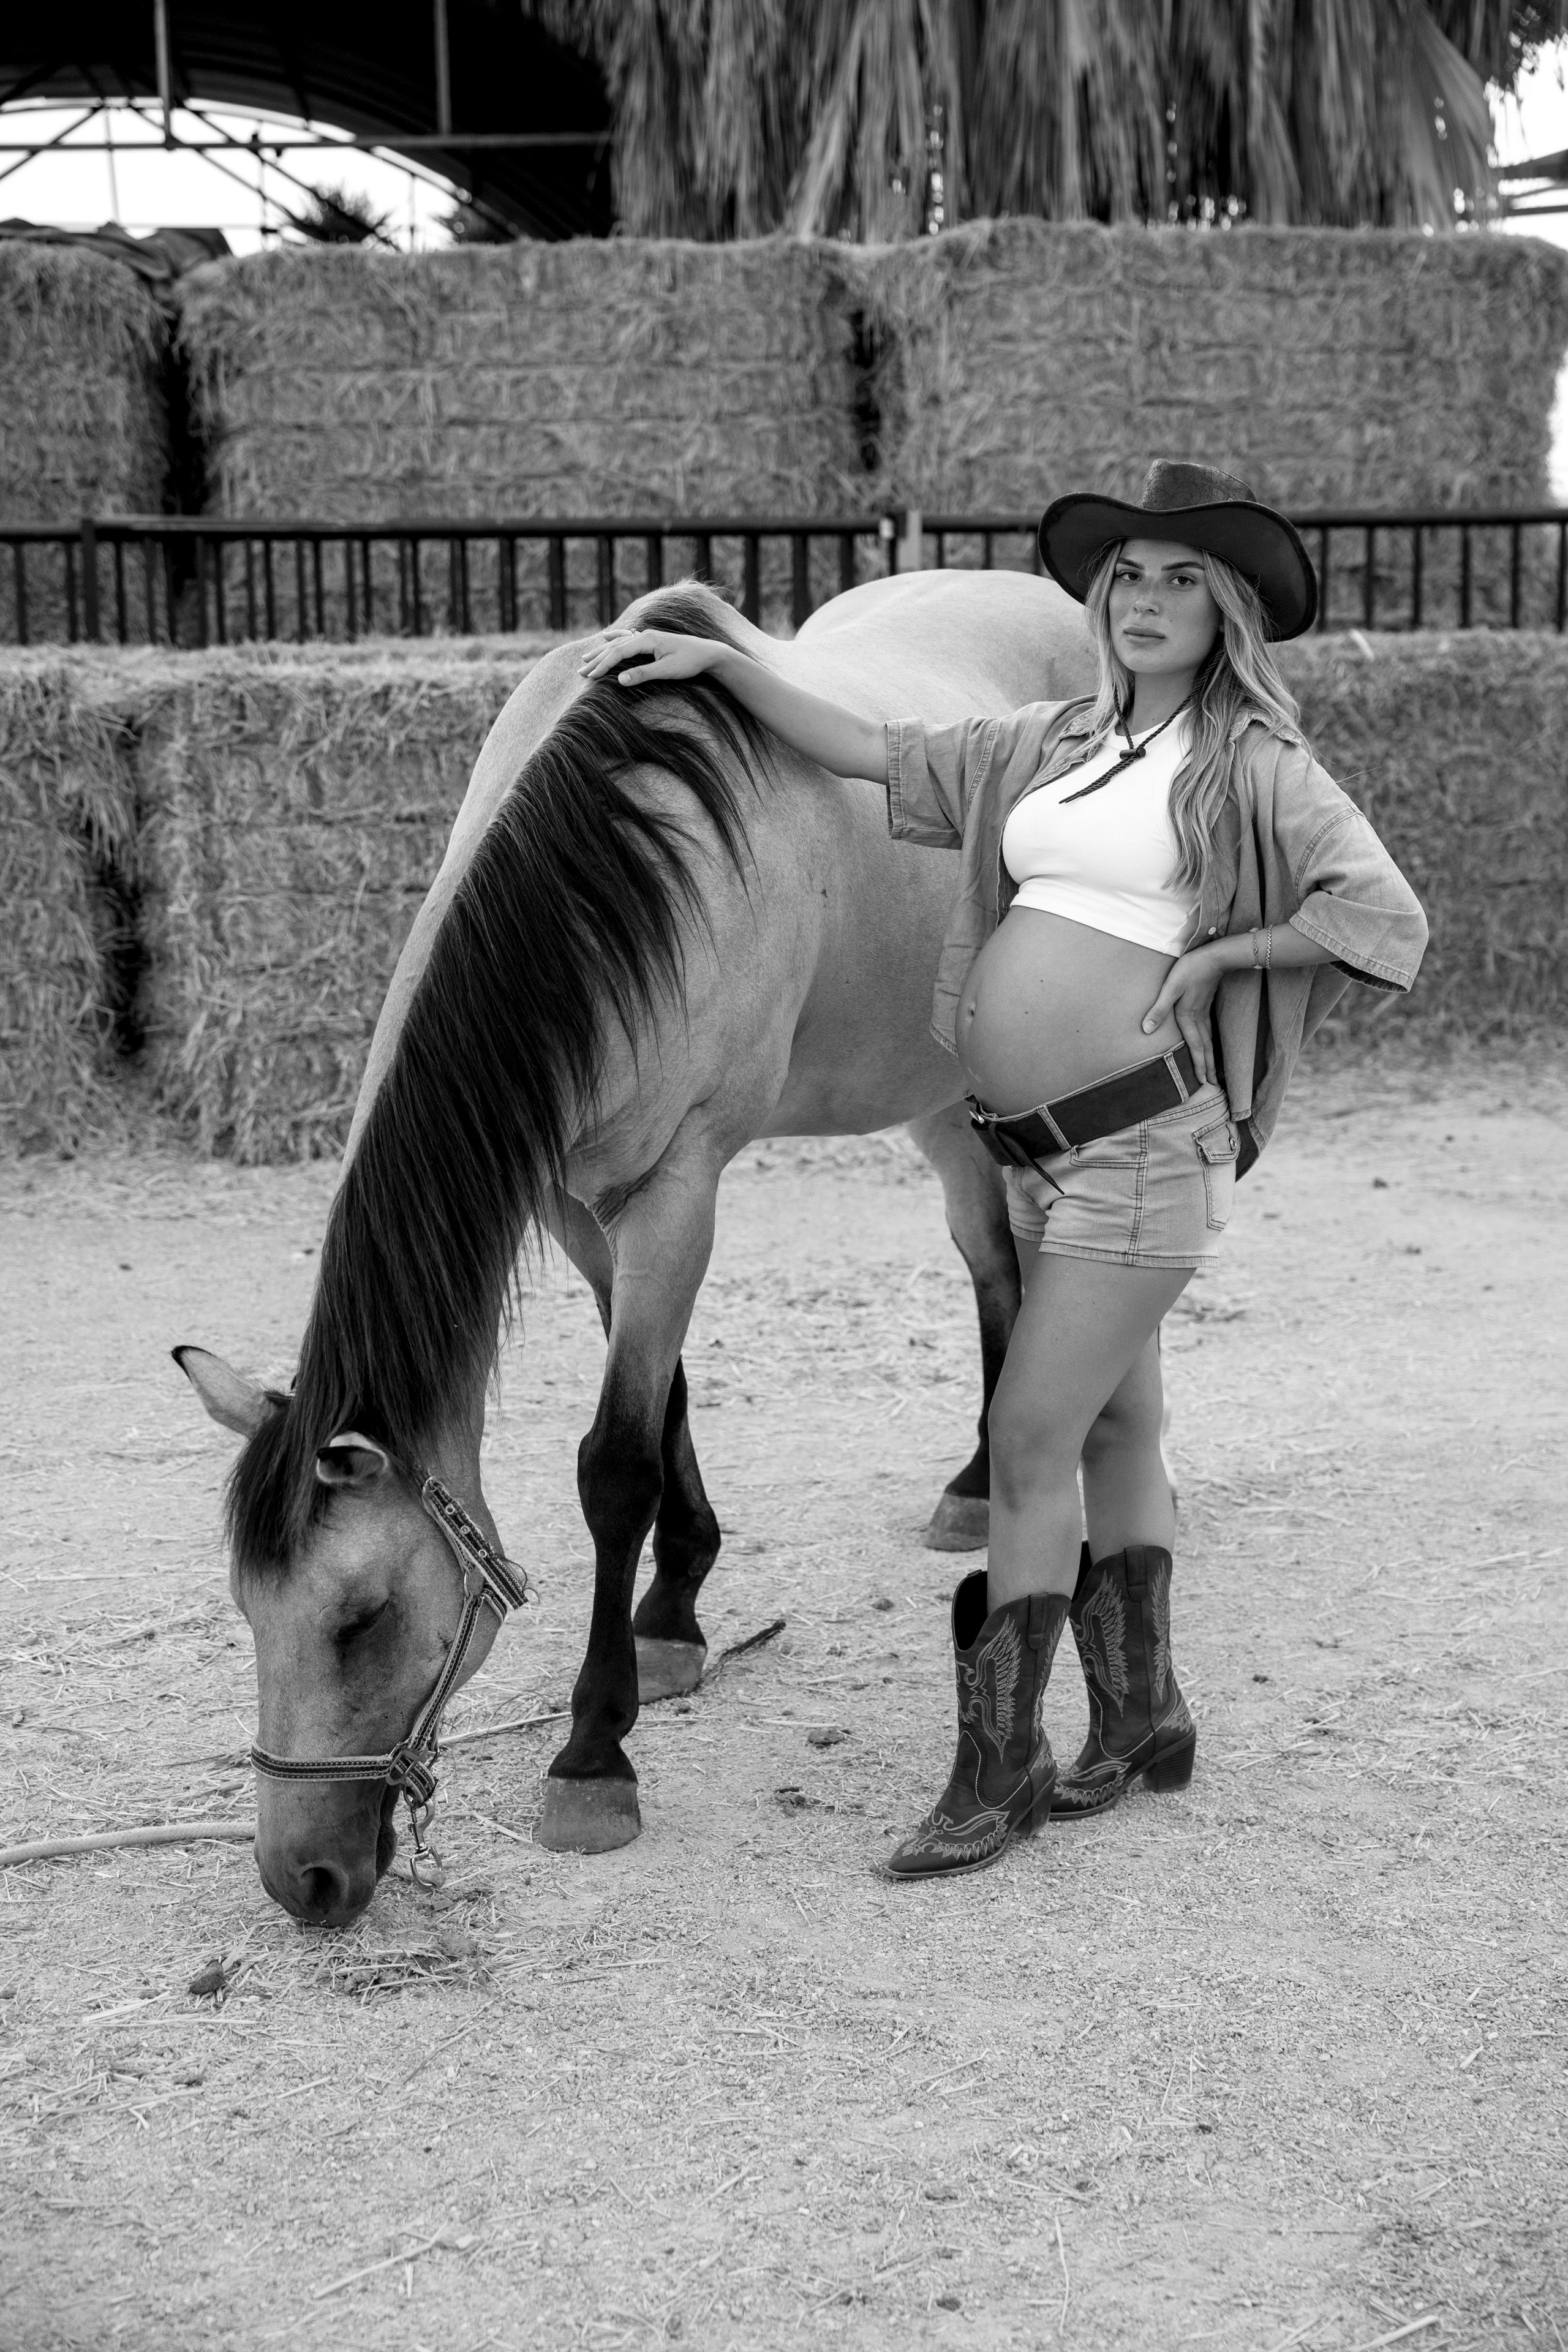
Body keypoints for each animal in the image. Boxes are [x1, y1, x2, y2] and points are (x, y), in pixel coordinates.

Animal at [176, 566, 1095, 1924]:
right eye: (249, 1612)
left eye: (363, 1619)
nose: (305, 1879)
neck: (618, 863)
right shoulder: (579, 1207)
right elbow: (662, 1406)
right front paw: (673, 1616)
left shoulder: (678, 1186)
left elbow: (615, 1463)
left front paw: (592, 1754)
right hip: (937, 1100)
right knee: (992, 1267)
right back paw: (977, 1487)